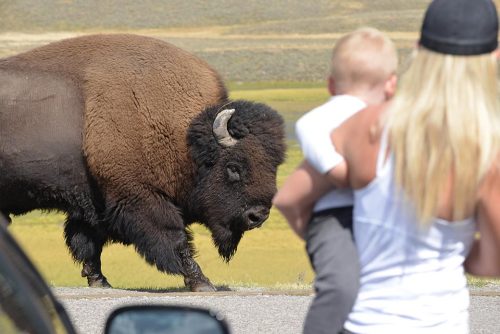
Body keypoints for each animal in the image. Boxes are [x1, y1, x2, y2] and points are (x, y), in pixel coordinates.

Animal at [0, 32, 288, 290]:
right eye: (234, 167)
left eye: (274, 166)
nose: (258, 216)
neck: (184, 138)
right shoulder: (140, 197)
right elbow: (175, 239)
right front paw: (202, 283)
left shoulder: (96, 202)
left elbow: (88, 242)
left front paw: (99, 281)